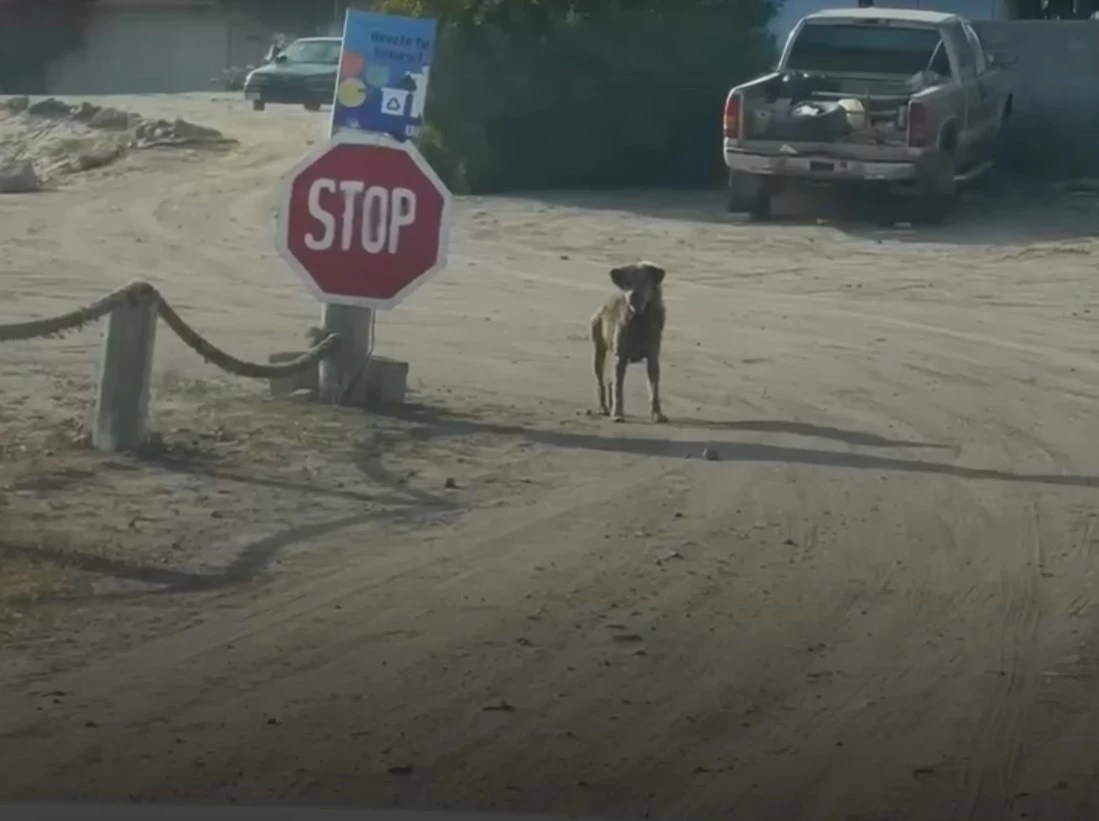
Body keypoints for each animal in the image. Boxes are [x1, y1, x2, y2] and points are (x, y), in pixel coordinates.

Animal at [593, 261, 668, 424]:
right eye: (627, 282)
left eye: (644, 281)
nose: (633, 295)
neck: (639, 319)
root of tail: (602, 307)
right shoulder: (620, 357)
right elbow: (618, 389)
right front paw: (617, 414)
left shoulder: (652, 357)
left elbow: (654, 388)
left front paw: (657, 414)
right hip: (598, 344)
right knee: (600, 379)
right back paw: (603, 408)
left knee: (610, 381)